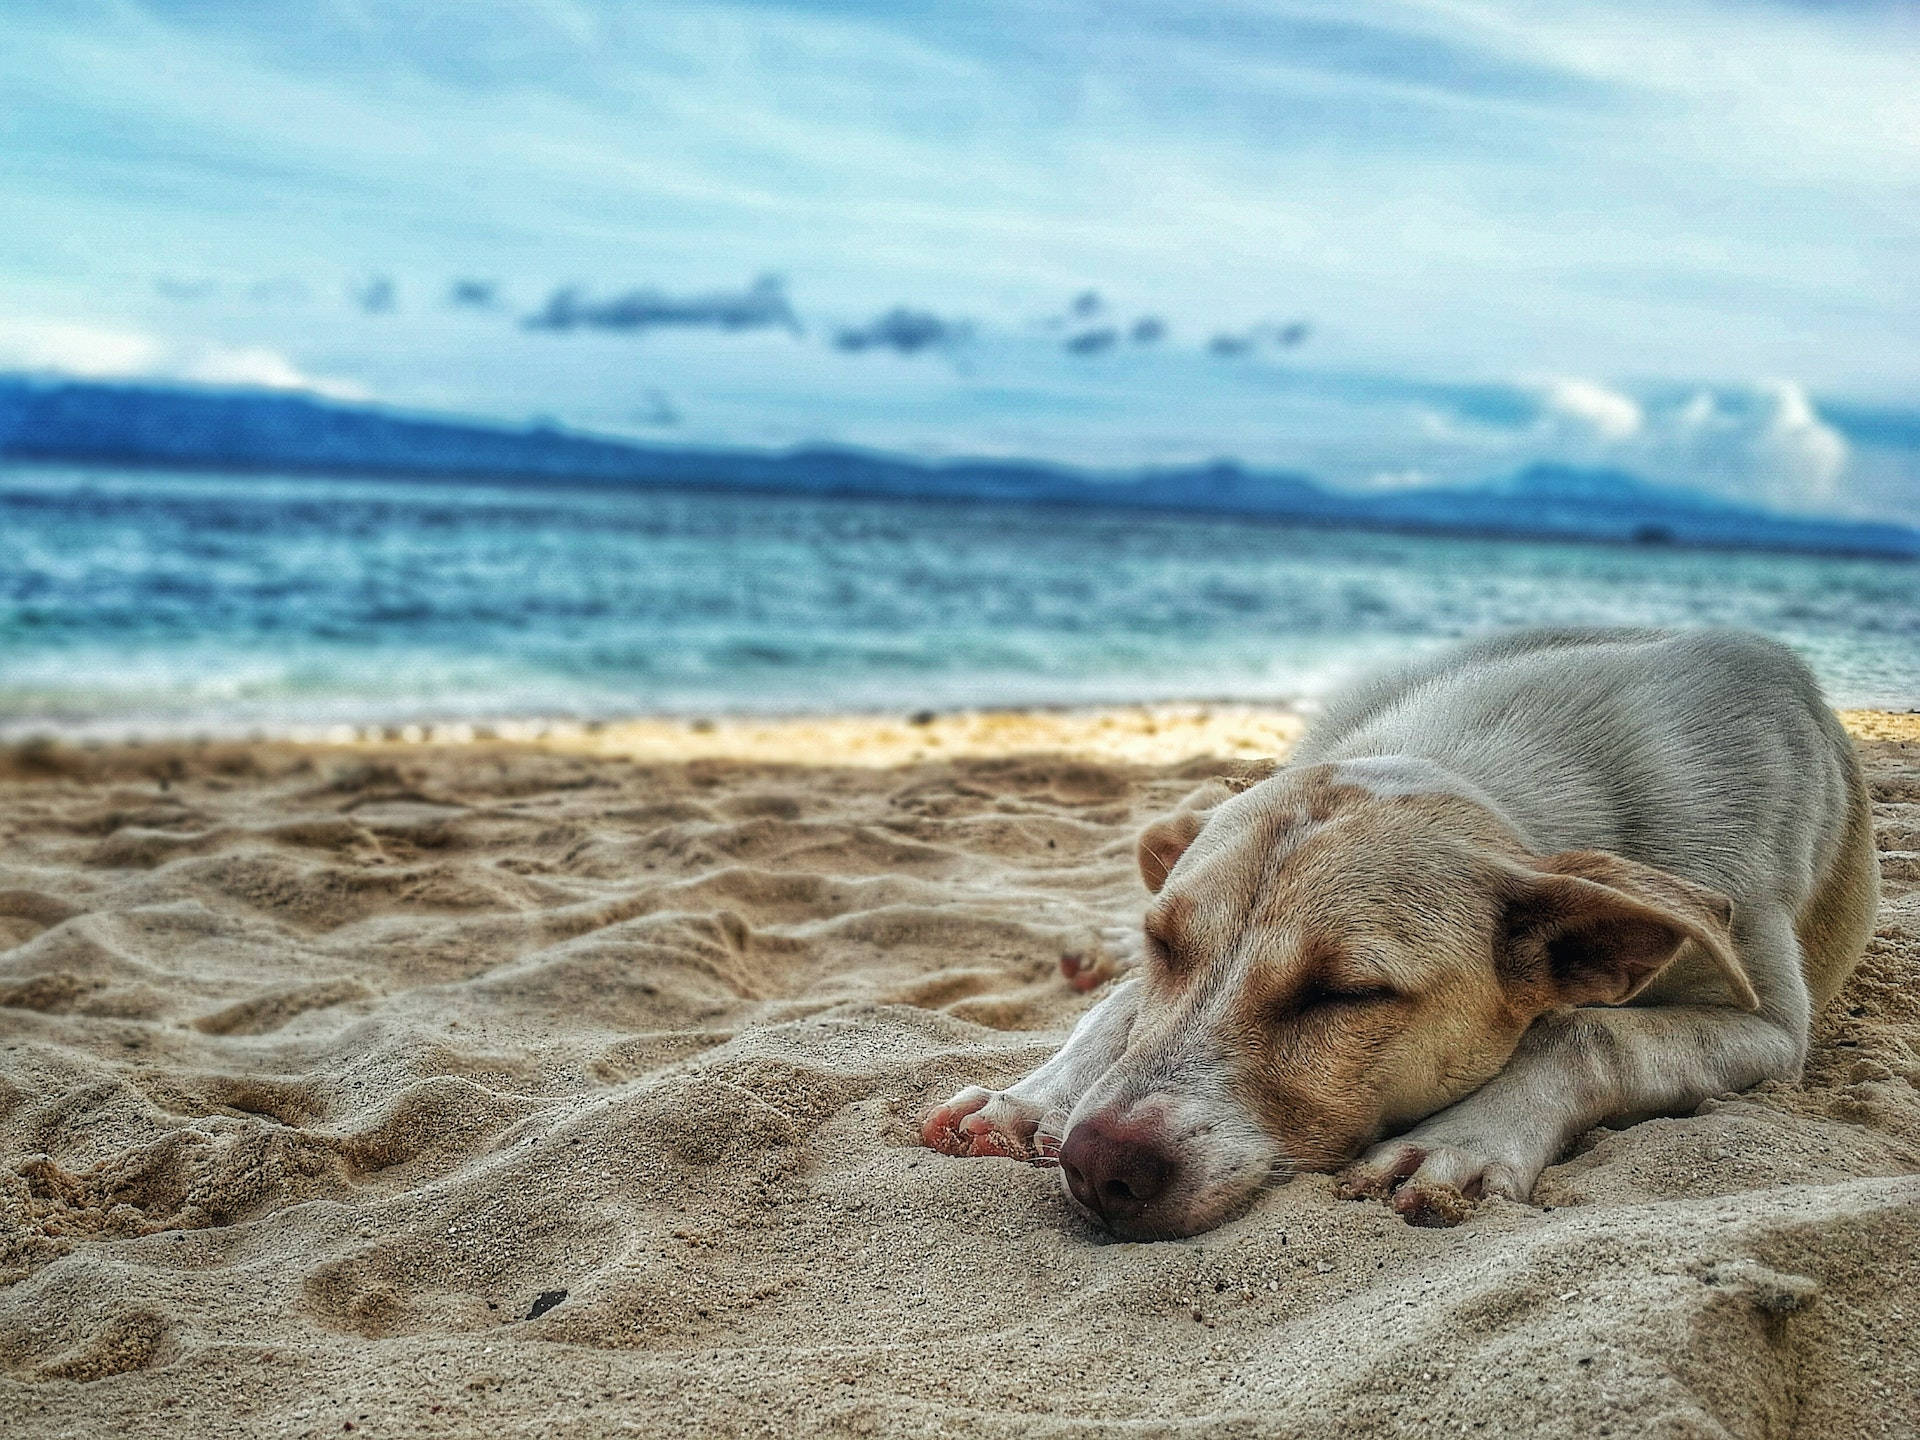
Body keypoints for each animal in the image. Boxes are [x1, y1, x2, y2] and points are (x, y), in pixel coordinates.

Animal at [921, 629, 1881, 1244]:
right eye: (1164, 947)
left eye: (1345, 994)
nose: (1097, 1166)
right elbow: (1122, 1009)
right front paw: (1034, 1097)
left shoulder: (1770, 1027)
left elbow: (1589, 1029)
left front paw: (1467, 1139)